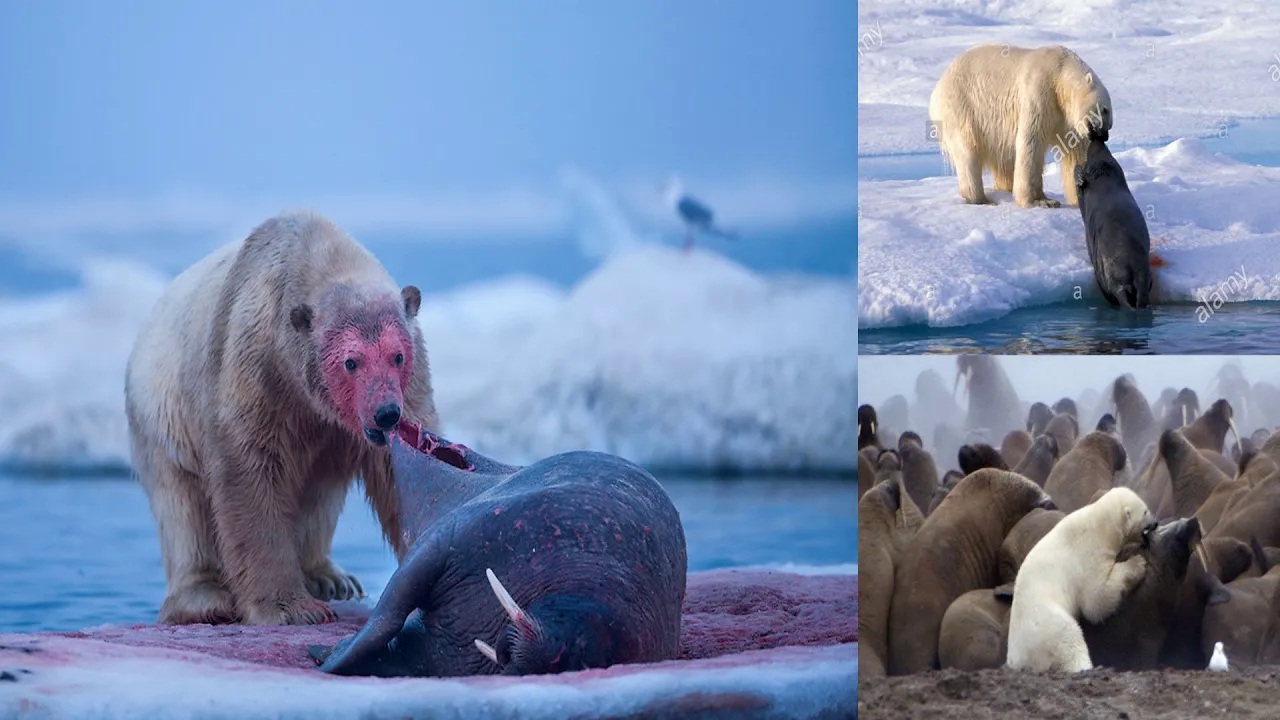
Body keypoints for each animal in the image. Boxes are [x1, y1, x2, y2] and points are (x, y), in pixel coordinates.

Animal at [126, 211, 440, 622]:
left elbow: (399, 473)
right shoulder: (256, 367)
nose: (386, 414)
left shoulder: (410, 386)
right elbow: (250, 474)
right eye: (350, 361)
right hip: (162, 416)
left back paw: (332, 578)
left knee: (320, 495)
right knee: (181, 507)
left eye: (397, 355)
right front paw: (291, 608)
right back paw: (205, 596)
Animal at [931, 43, 1111, 208]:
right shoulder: (1040, 91)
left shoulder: (1067, 119)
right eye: (1105, 109)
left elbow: (1076, 151)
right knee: (967, 152)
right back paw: (981, 199)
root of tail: (938, 86)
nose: (1105, 136)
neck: (1060, 73)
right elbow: (1031, 142)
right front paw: (1040, 201)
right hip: (963, 108)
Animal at [1003, 484, 1157, 671]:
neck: (1101, 525)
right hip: (1045, 625)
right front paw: (1138, 563)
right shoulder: (1089, 553)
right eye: (1145, 511)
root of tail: (1016, 659)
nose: (1156, 523)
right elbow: (1095, 601)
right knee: (1069, 639)